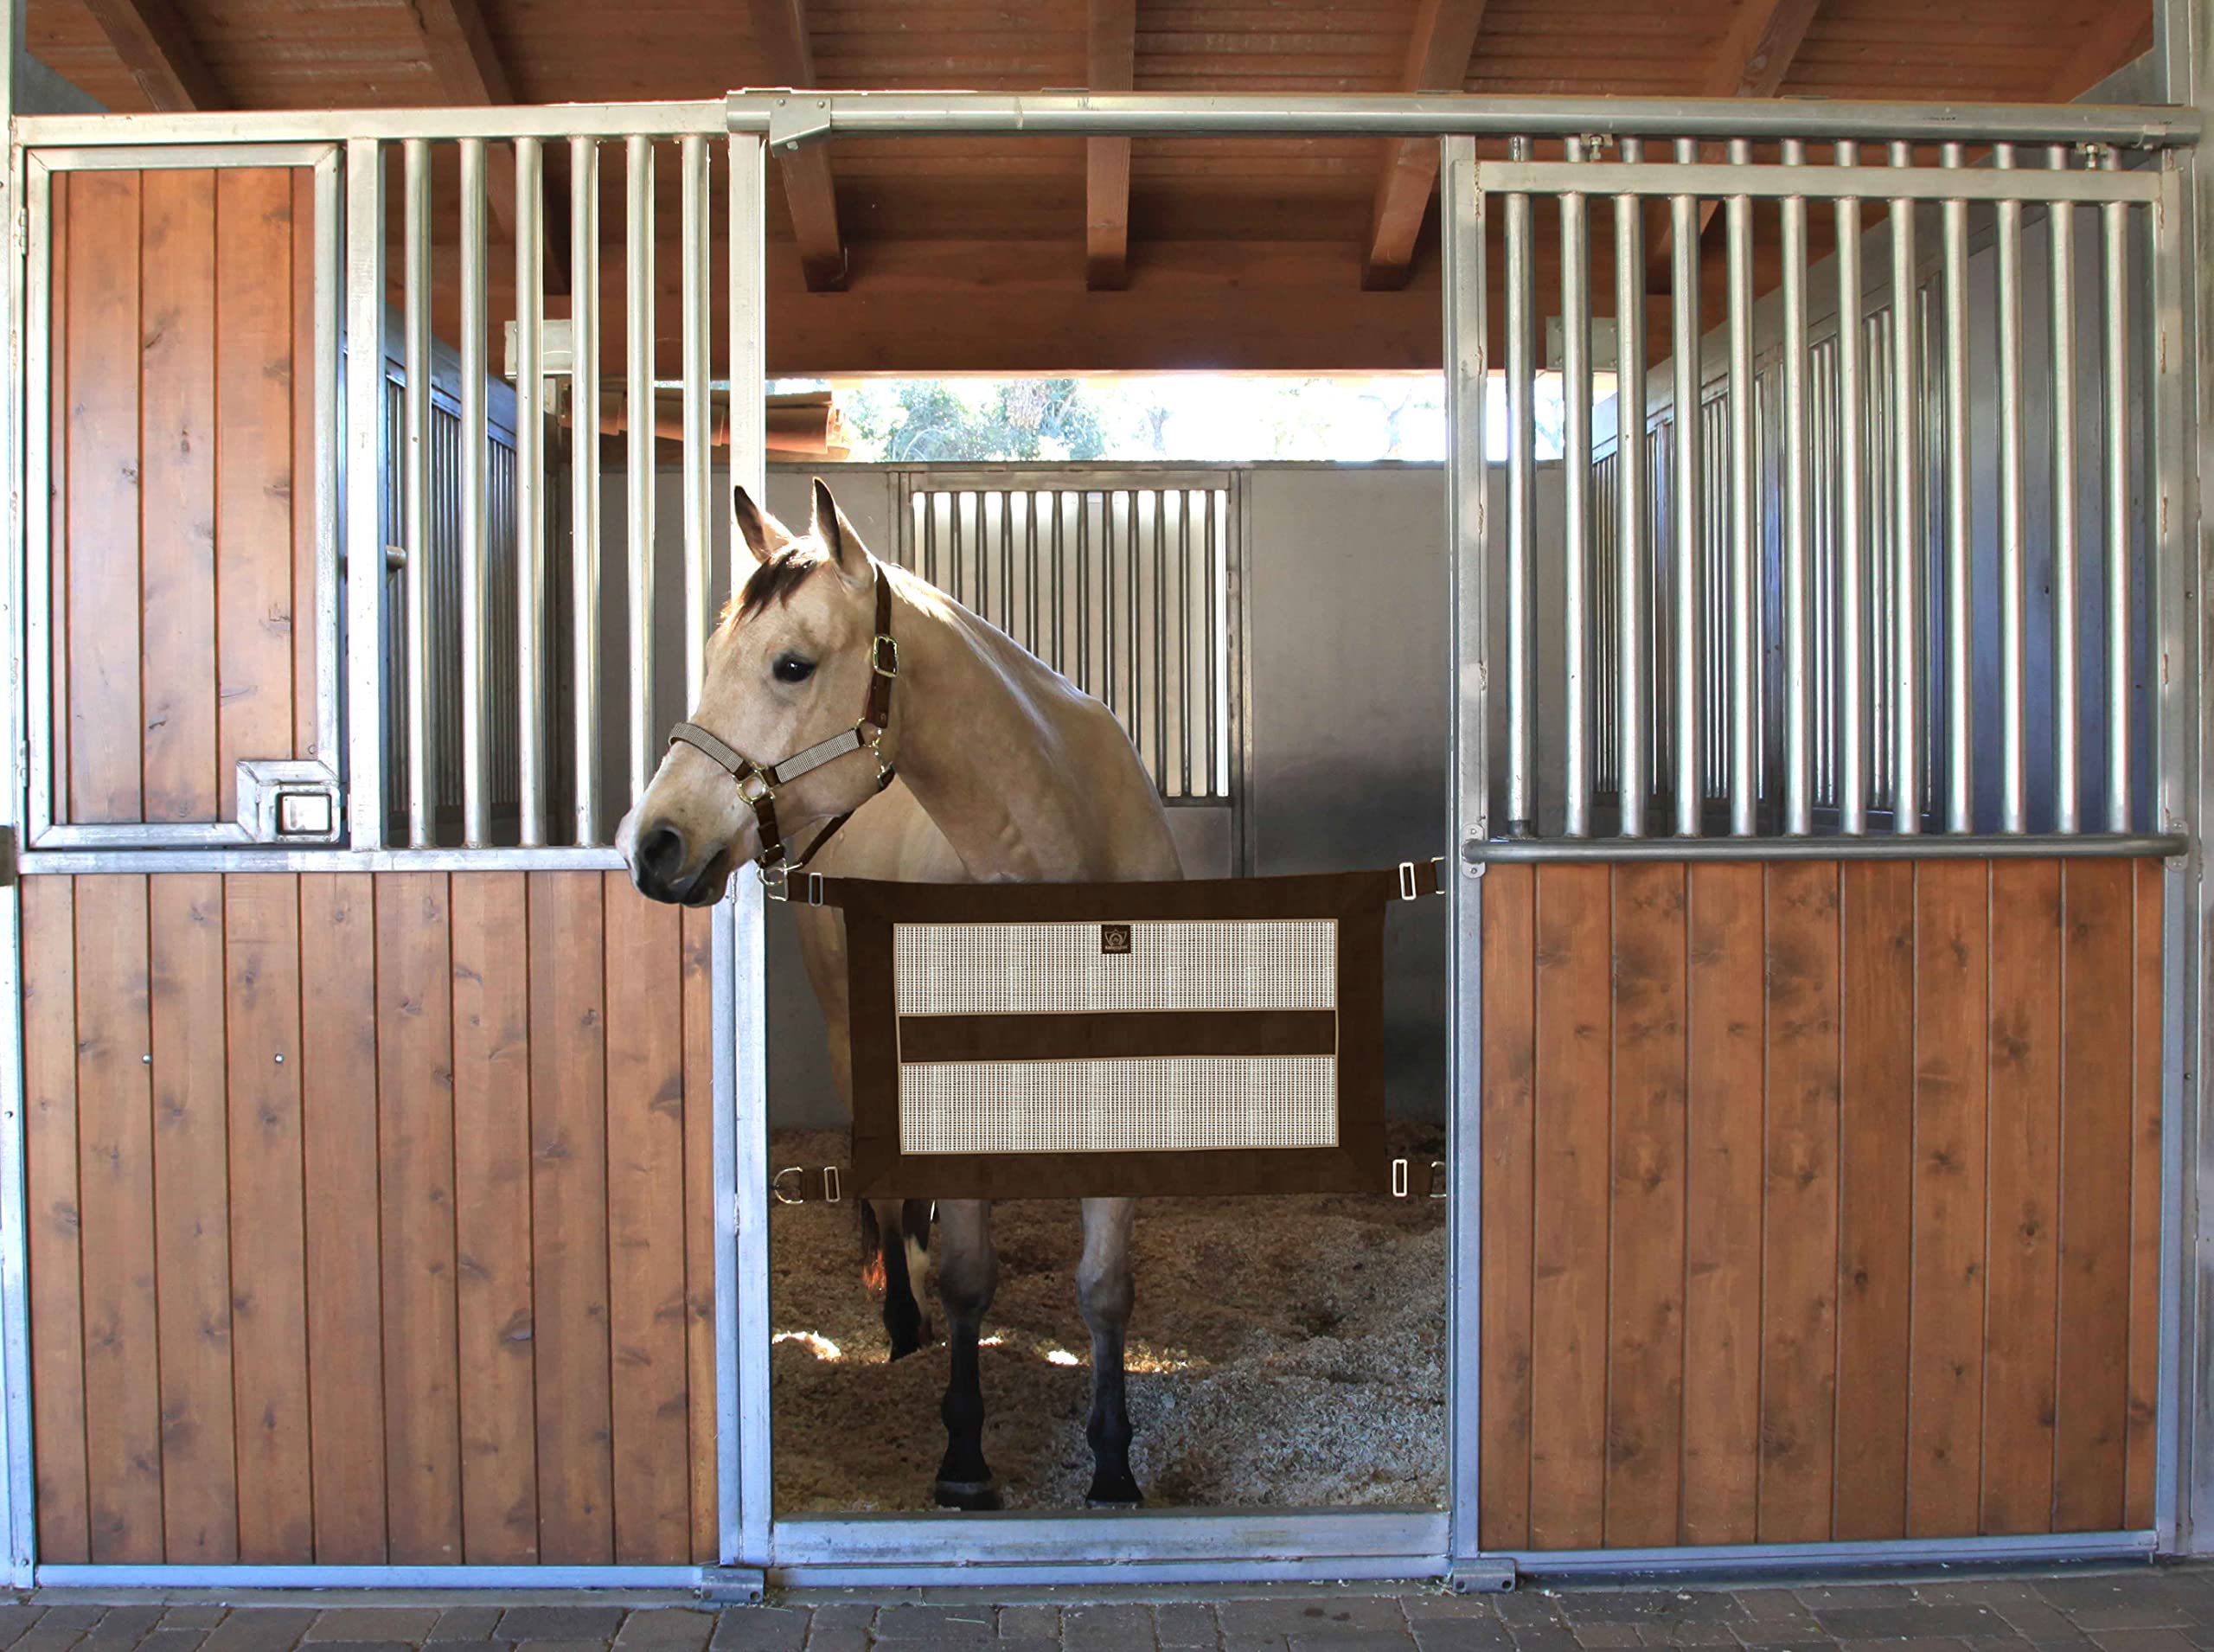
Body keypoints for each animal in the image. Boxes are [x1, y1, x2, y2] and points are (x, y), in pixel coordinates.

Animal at [618, 477, 1184, 1509]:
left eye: (791, 665)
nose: (654, 843)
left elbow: (1104, 1286)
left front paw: (1114, 1460)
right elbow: (966, 1275)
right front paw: (962, 1456)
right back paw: (901, 1327)